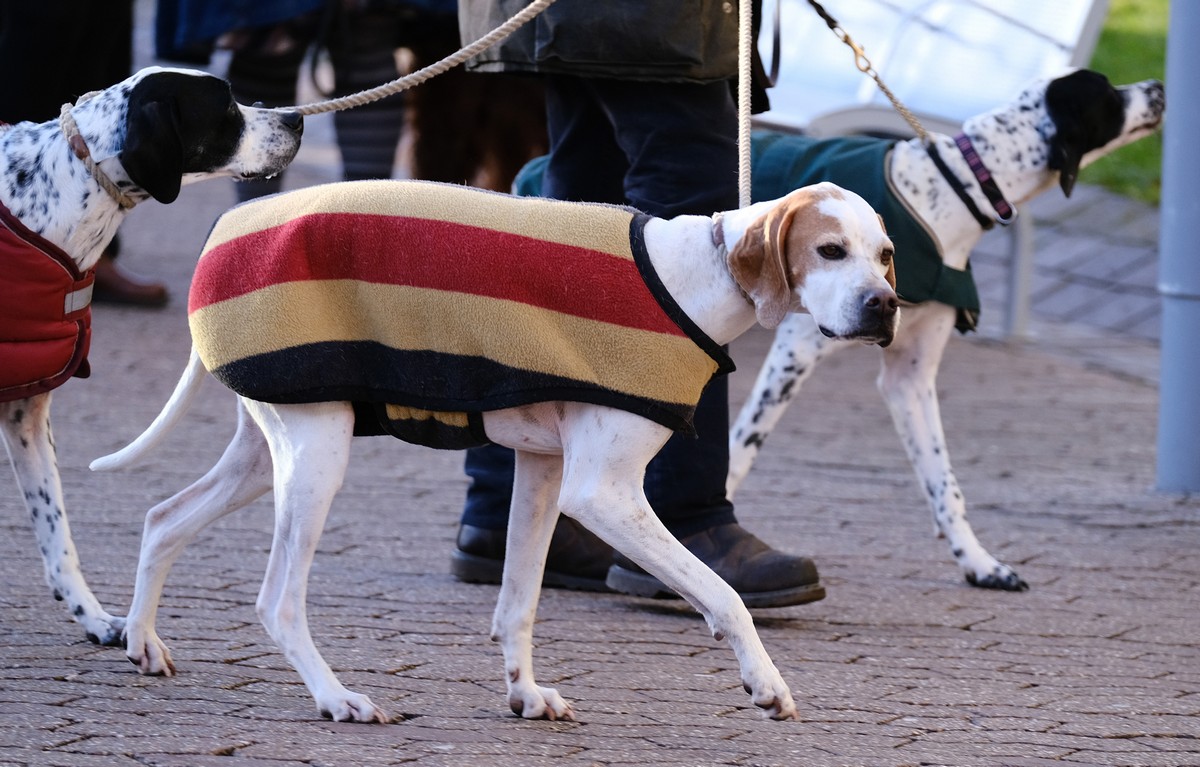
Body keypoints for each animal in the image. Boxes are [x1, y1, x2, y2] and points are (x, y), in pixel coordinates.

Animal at [93, 177, 897, 724]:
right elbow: (724, 593)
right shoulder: (603, 493)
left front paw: (525, 692)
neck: (697, 273)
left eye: (887, 256)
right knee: (277, 600)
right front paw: (766, 683)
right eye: (829, 251)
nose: (885, 305)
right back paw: (336, 696)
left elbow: (517, 602)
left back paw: (142, 641)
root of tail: (225, 234)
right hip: (318, 458)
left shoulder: (542, 474)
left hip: (272, 454)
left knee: (163, 518)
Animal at [720, 70, 1161, 588]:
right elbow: (742, 447)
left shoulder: (910, 376)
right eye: (1108, 92)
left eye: (887, 254)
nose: (1158, 88)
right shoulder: (794, 353)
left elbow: (943, 480)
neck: (953, 188)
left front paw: (978, 561)